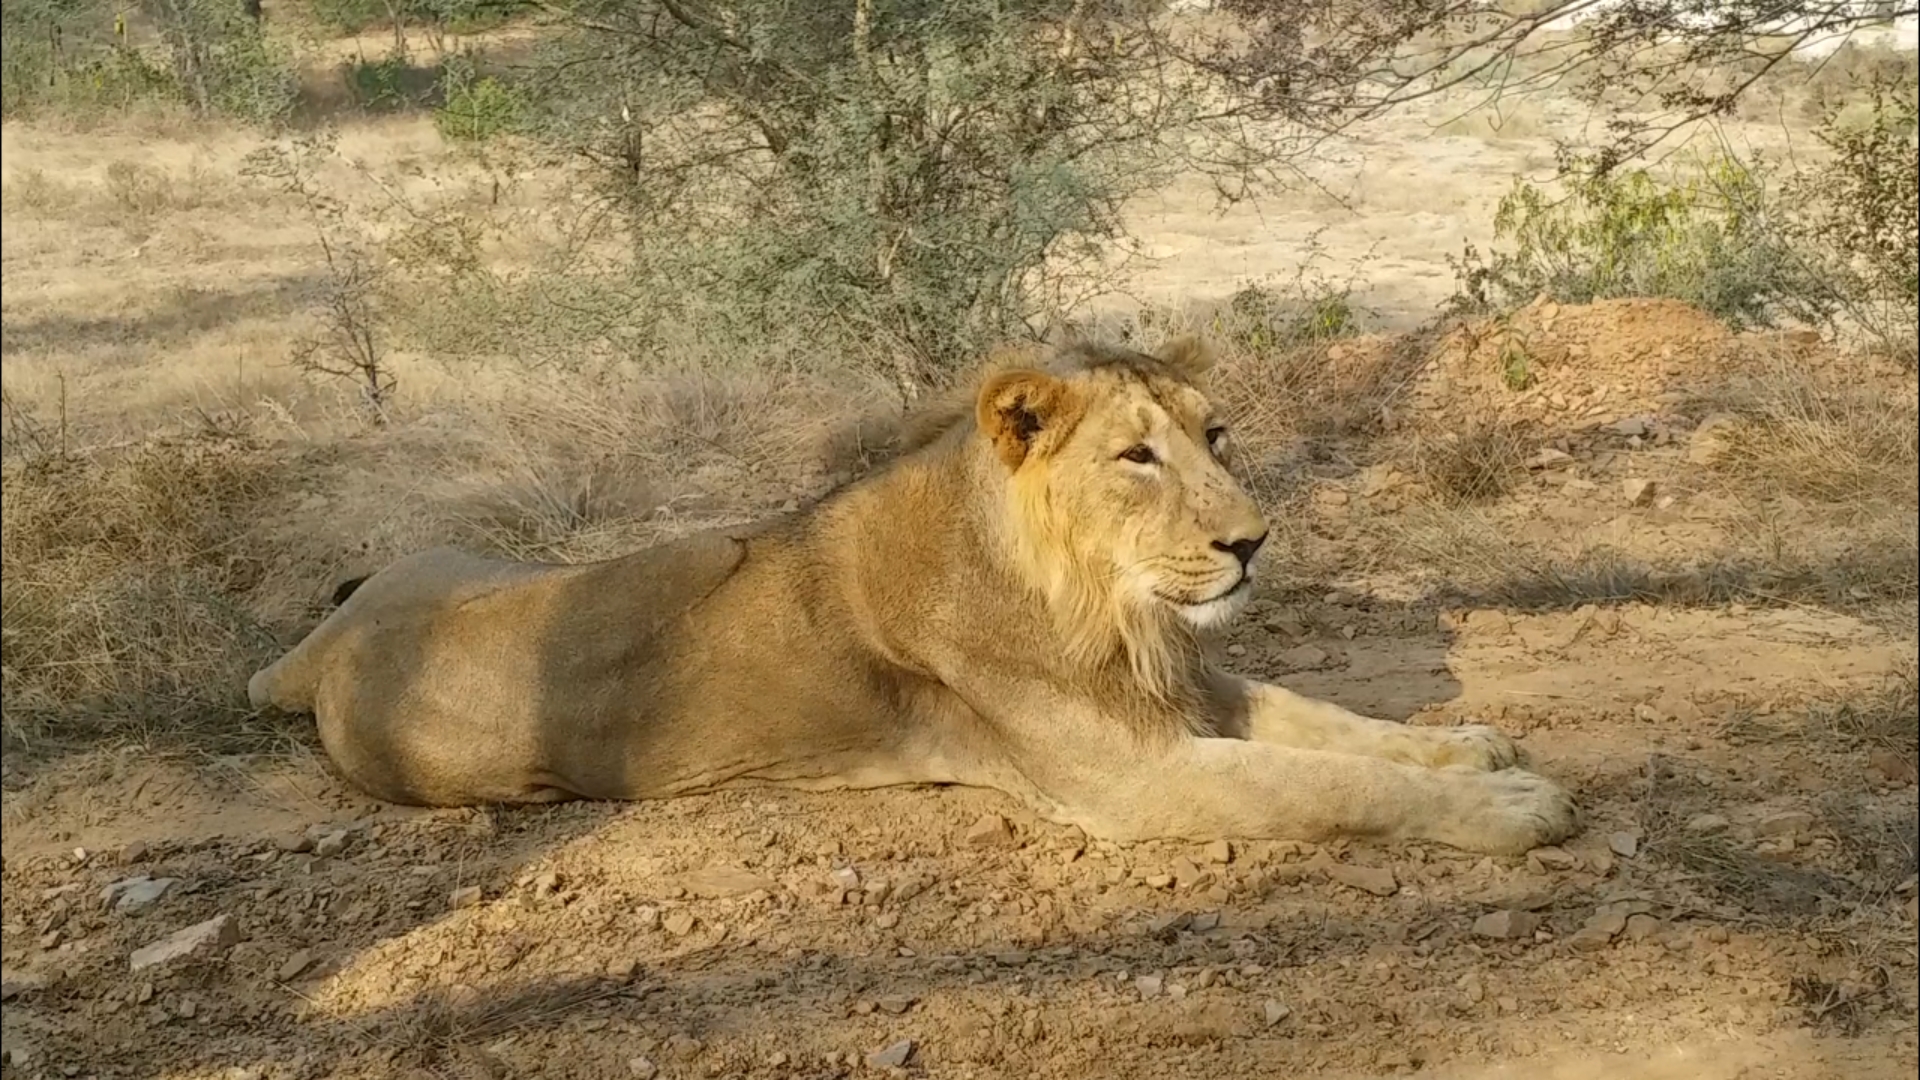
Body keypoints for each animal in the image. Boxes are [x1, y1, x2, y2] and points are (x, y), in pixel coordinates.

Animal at [251, 332, 1574, 853]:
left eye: (1216, 436)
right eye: (1136, 458)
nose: (1253, 542)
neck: (1111, 610)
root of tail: (325, 649)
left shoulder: (1186, 687)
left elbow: (1340, 724)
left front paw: (1472, 745)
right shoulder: (1132, 779)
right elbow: (1332, 781)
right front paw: (1514, 806)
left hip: (442, 550)